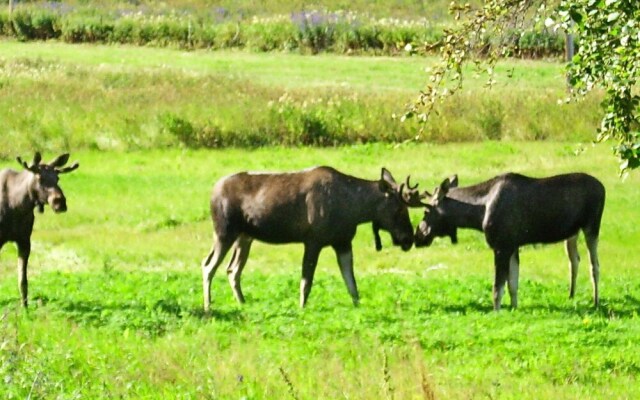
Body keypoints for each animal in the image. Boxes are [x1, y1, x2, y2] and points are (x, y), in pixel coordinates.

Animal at [0, 152, 79, 306]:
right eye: (40, 178)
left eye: (57, 178)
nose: (60, 202)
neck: (17, 206)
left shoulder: (25, 240)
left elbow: (23, 280)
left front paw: (25, 307)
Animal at [202, 165, 424, 310]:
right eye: (399, 210)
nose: (408, 239)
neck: (353, 210)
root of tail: (212, 191)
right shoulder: (313, 241)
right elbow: (306, 281)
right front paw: (301, 307)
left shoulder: (343, 242)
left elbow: (351, 282)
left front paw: (358, 306)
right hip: (224, 232)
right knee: (208, 266)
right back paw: (208, 306)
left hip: (244, 237)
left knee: (232, 269)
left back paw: (242, 302)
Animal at [416, 172, 604, 310]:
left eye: (426, 211)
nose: (418, 235)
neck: (477, 214)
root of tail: (603, 187)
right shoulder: (513, 246)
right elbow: (513, 284)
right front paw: (514, 308)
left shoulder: (501, 246)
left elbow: (497, 287)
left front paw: (496, 311)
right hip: (573, 233)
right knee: (575, 260)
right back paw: (572, 296)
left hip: (592, 227)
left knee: (594, 265)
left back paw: (595, 302)